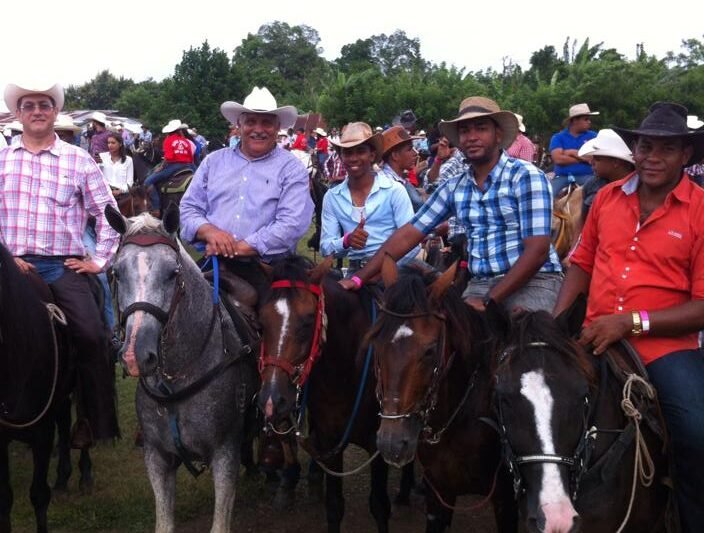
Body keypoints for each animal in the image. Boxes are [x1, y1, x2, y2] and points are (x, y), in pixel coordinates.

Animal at [258, 256, 390, 528]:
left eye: (309, 320)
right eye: (261, 323)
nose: (272, 400)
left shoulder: (379, 446)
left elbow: (380, 505)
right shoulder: (330, 443)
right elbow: (335, 506)